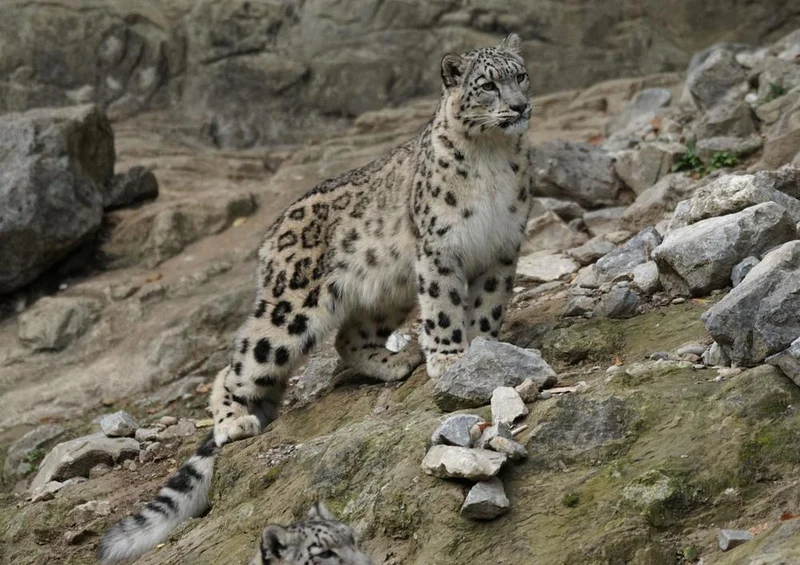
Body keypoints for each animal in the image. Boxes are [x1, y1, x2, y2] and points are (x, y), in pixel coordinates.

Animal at [99, 33, 532, 562]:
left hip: (385, 292)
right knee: (236, 366)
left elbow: (487, 309)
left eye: (521, 75)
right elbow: (444, 308)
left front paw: (487, 349)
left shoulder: (502, 248)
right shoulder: (439, 250)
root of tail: (268, 238)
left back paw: (394, 361)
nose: (520, 106)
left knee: (348, 339)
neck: (492, 159)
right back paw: (234, 421)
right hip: (289, 311)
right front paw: (452, 359)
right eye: (488, 84)